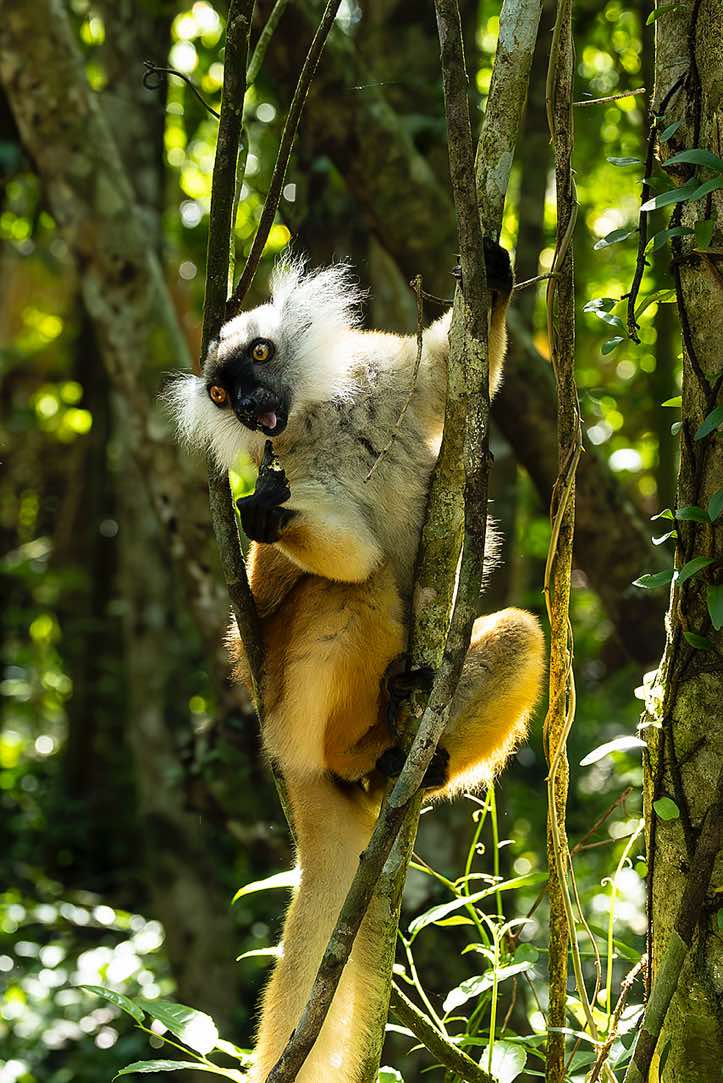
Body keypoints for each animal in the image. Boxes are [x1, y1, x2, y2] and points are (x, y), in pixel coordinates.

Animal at [168, 244, 544, 1083]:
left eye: (258, 358)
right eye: (220, 392)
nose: (249, 409)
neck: (314, 416)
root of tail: (288, 757)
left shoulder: (380, 374)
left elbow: (446, 373)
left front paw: (495, 275)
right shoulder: (288, 464)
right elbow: (342, 557)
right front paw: (267, 517)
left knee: (519, 635)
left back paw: (405, 763)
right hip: (289, 700)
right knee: (355, 588)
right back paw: (354, 750)